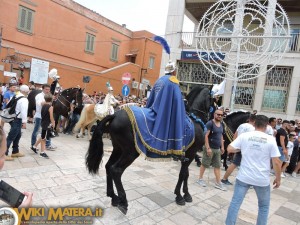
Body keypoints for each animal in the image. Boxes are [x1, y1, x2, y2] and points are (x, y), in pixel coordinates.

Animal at [85, 85, 212, 214]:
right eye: (212, 97)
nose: (212, 115)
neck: (195, 120)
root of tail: (115, 115)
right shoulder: (191, 153)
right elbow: (183, 174)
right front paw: (181, 196)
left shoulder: (188, 155)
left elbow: (186, 174)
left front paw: (185, 194)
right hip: (130, 152)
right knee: (116, 170)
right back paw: (123, 201)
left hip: (118, 149)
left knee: (108, 167)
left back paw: (113, 197)